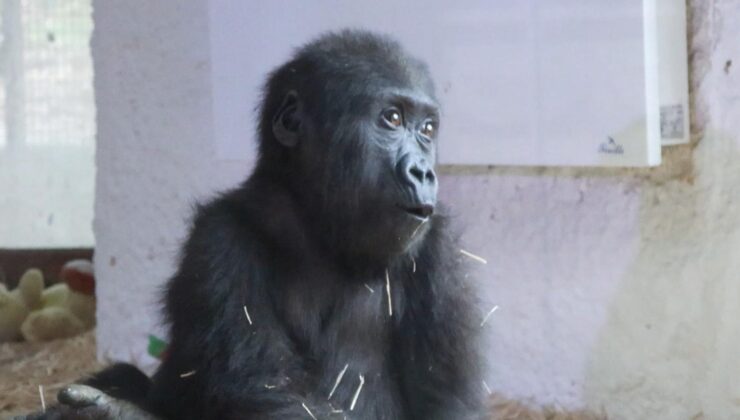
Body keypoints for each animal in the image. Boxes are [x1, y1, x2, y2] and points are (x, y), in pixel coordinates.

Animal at [21, 30, 486, 420]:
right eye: (391, 119)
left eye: (427, 129)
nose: (423, 171)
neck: (317, 219)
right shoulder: (218, 239)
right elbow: (262, 385)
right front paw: (121, 410)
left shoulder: (443, 253)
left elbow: (447, 402)